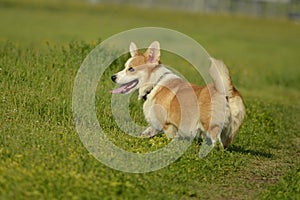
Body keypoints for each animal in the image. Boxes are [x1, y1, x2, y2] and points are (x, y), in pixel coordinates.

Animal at [109, 41, 244, 156]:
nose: (113, 77)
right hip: (228, 132)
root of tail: (226, 92)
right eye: (125, 67)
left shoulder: (168, 125)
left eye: (131, 69)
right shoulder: (156, 124)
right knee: (222, 145)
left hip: (210, 126)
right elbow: (146, 132)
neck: (154, 84)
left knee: (217, 144)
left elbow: (170, 139)